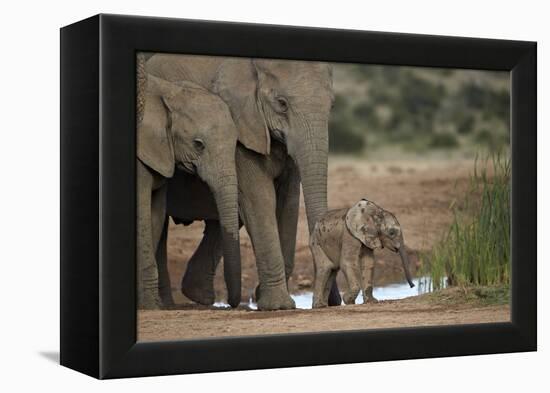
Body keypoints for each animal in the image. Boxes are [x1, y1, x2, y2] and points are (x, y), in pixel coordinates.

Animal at [148, 53, 344, 310]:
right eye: (282, 103)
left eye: (332, 105)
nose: (332, 302)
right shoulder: (243, 126)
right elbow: (259, 199)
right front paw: (277, 306)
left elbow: (288, 202)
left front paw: (265, 298)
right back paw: (168, 304)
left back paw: (198, 297)